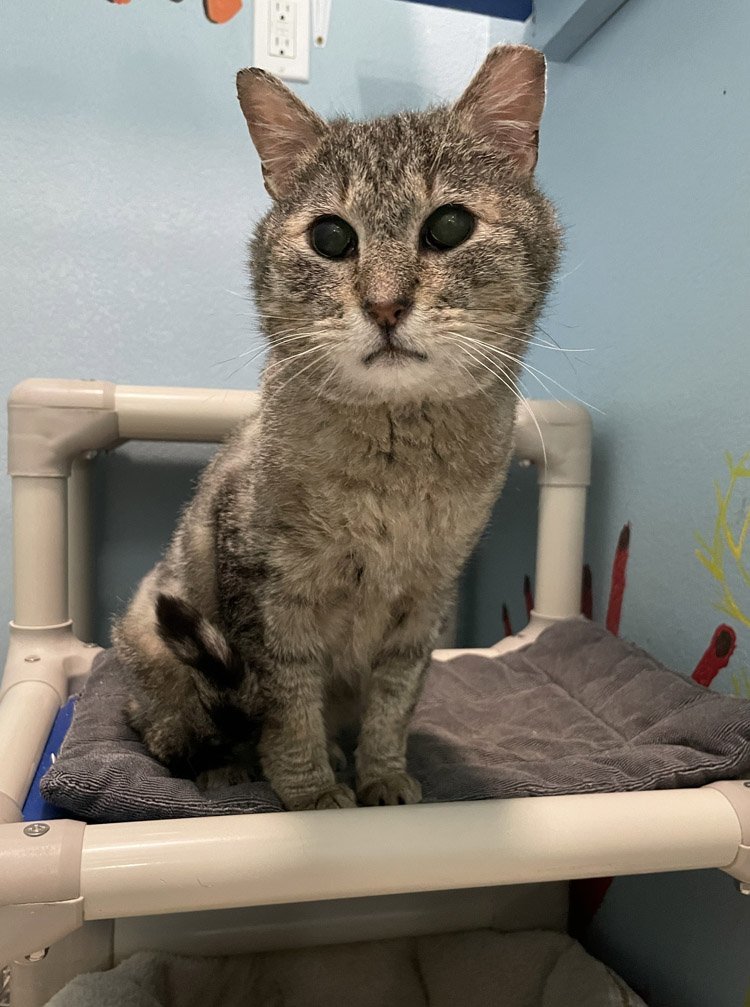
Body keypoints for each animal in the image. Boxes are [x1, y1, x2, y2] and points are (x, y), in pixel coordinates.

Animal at [114, 47, 559, 813]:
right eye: (331, 238)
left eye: (448, 226)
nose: (384, 306)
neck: (395, 462)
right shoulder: (268, 592)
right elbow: (288, 704)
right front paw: (311, 788)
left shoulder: (424, 604)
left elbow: (391, 703)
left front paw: (380, 775)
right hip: (150, 632)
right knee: (174, 730)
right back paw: (222, 766)